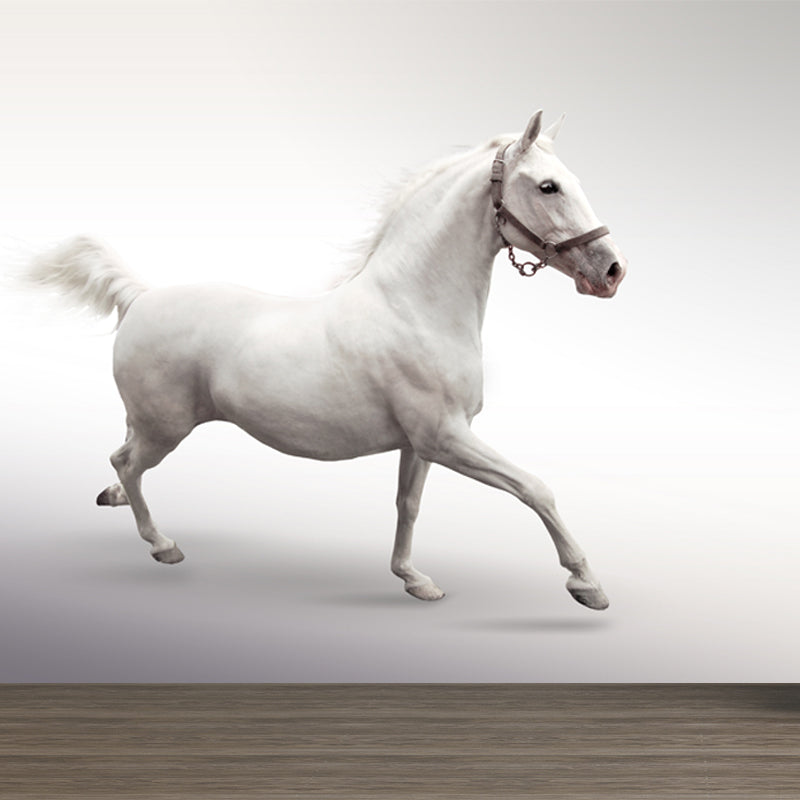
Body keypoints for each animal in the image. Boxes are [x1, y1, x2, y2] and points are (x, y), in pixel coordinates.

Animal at [27, 110, 626, 610]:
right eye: (547, 186)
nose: (612, 271)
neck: (416, 306)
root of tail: (139, 297)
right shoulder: (447, 437)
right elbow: (535, 488)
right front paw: (587, 584)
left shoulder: (420, 444)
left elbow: (407, 505)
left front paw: (414, 579)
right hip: (165, 428)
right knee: (128, 463)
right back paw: (162, 545)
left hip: (149, 421)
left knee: (120, 460)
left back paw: (113, 501)